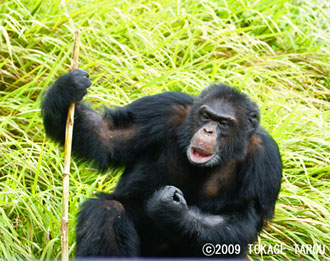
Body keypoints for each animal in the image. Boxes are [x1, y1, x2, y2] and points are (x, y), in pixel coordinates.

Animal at [41, 68, 282, 256]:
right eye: (205, 116)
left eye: (224, 123)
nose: (209, 130)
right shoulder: (163, 108)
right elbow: (108, 136)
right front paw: (66, 89)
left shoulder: (265, 161)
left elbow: (243, 219)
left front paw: (173, 210)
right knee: (107, 209)